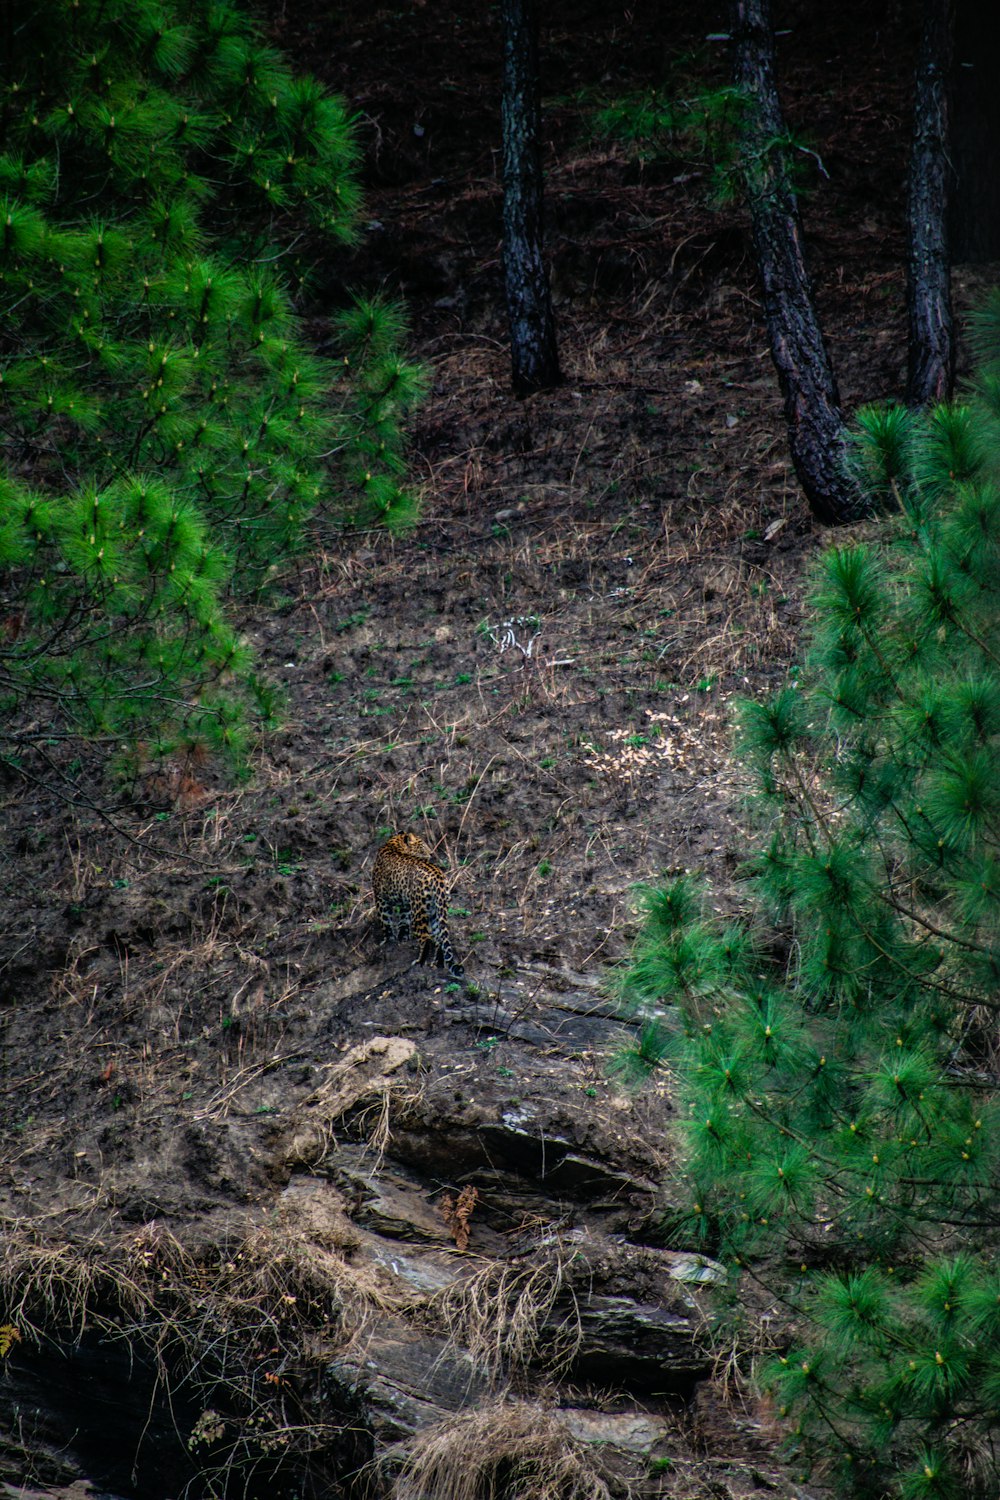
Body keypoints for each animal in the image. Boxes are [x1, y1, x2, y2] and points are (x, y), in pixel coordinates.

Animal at [371, 828, 464, 978]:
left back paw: (420, 961)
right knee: (440, 938)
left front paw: (388, 941)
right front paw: (402, 938)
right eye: (422, 845)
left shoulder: (380, 898)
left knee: (426, 938)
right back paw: (437, 963)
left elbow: (385, 922)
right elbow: (403, 922)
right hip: (437, 910)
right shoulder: (405, 903)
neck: (394, 844)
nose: (431, 853)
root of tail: (438, 876)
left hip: (419, 912)